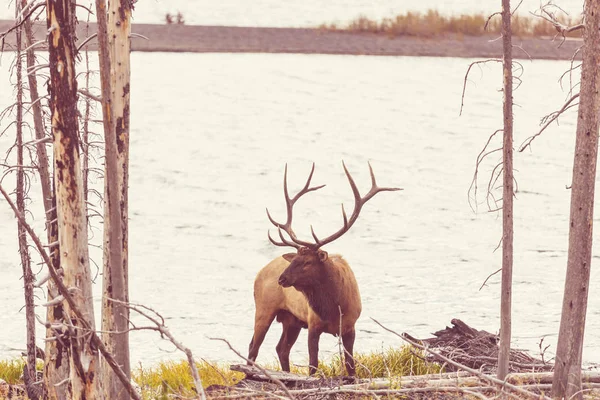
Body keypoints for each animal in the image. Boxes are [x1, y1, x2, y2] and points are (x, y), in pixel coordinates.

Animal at [248, 162, 404, 376]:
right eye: (294, 259)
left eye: (307, 262)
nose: (282, 279)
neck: (334, 306)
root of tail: (259, 273)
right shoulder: (313, 324)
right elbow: (313, 365)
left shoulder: (350, 326)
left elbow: (350, 365)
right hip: (264, 308)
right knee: (253, 347)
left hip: (291, 320)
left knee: (281, 348)